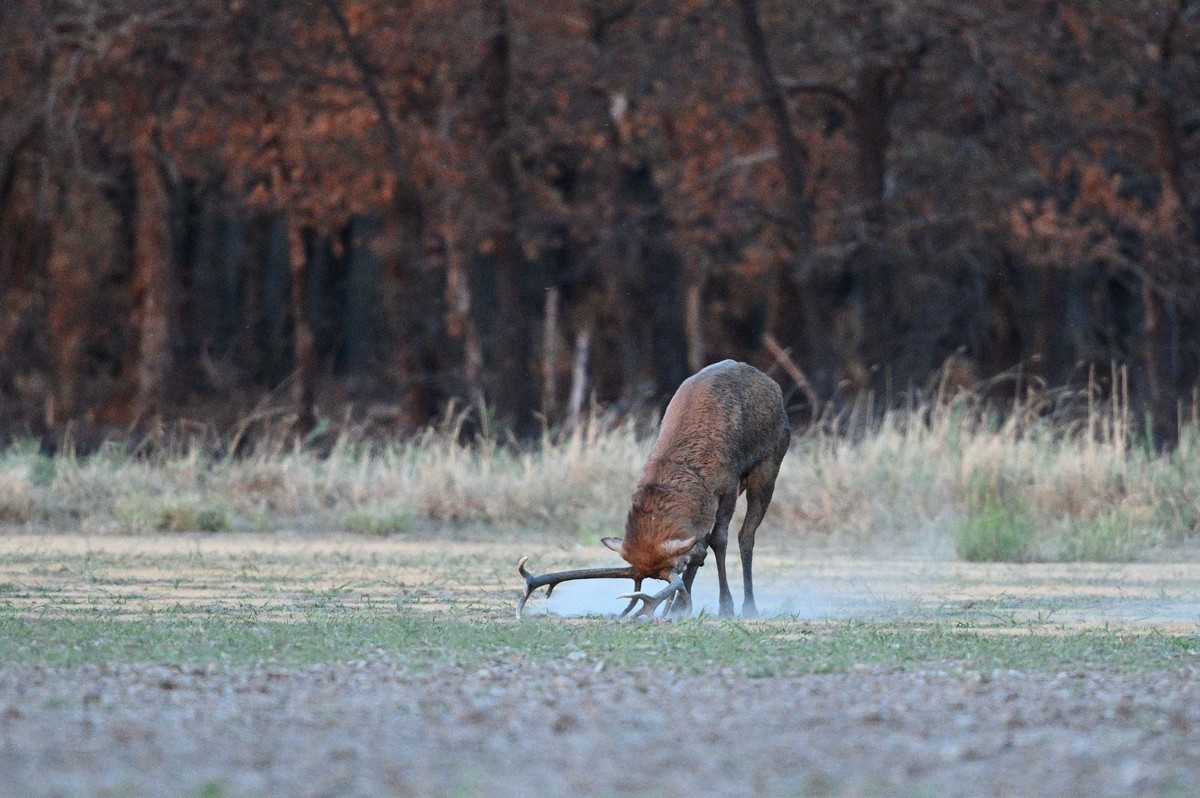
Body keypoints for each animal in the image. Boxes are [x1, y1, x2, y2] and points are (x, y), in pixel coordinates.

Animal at [517, 359, 790, 619]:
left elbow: (719, 539)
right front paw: (680, 607)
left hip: (770, 464)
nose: (697, 556)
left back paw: (749, 606)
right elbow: (704, 538)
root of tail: (773, 386)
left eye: (677, 566)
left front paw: (725, 606)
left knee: (746, 534)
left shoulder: (729, 482)